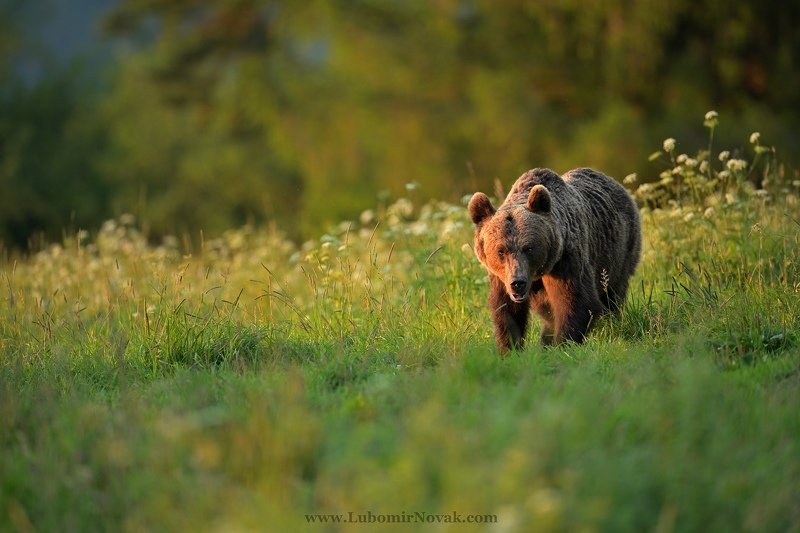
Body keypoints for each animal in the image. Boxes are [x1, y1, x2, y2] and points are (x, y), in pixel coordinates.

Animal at [468, 168, 641, 353]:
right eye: (501, 251)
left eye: (529, 248)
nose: (518, 283)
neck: (538, 273)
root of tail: (614, 182)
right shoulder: (501, 277)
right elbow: (507, 310)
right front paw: (510, 349)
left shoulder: (566, 262)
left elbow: (576, 302)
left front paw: (563, 345)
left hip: (619, 252)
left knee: (612, 294)